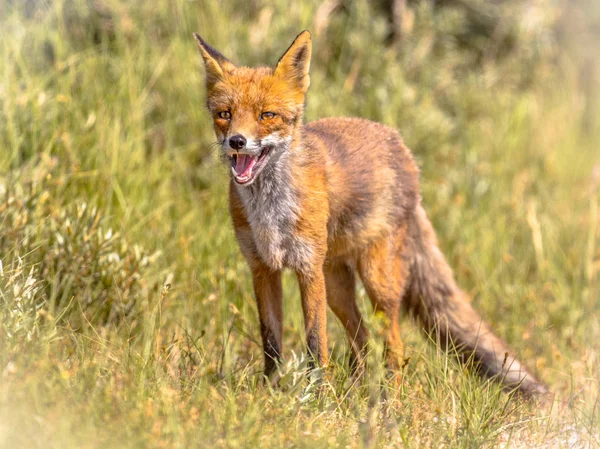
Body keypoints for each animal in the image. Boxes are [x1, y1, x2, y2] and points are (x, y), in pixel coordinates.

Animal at [192, 30, 548, 396]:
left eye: (267, 115)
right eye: (224, 114)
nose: (236, 141)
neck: (270, 212)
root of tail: (402, 147)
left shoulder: (308, 269)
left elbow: (315, 343)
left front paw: (316, 398)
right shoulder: (263, 269)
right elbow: (271, 341)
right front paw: (270, 393)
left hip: (378, 283)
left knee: (393, 344)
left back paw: (390, 396)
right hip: (336, 285)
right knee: (361, 339)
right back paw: (360, 390)